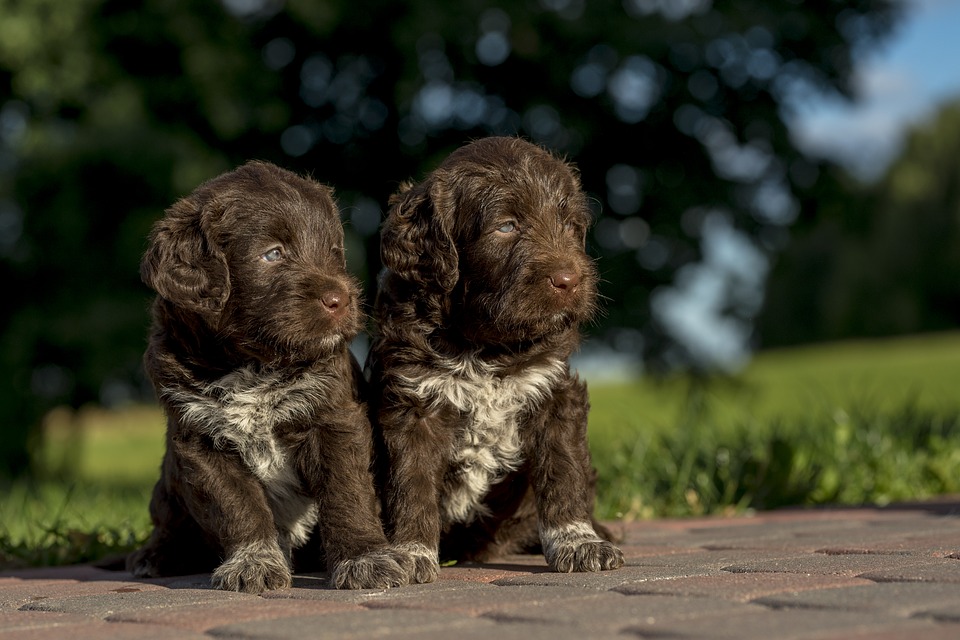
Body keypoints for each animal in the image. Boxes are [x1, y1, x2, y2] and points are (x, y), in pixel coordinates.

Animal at [127, 162, 412, 592]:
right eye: (273, 254)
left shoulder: (335, 419)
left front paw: (365, 559)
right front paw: (254, 563)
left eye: (332, 252)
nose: (341, 300)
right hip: (168, 483)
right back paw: (154, 556)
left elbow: (347, 492)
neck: (253, 366)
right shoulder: (201, 442)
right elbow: (237, 505)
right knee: (168, 522)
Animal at [364, 138, 628, 584]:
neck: (485, 347)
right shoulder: (414, 403)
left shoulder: (555, 392)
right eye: (506, 226)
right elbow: (411, 483)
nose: (570, 280)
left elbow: (563, 472)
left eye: (569, 224)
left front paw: (579, 542)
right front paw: (411, 552)